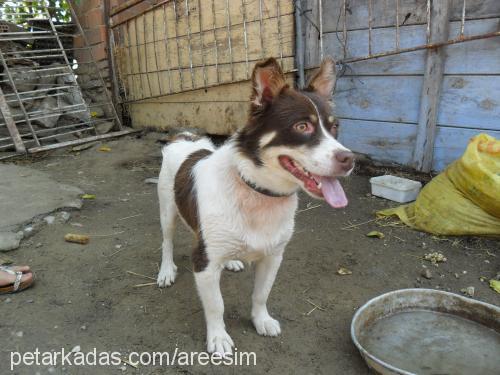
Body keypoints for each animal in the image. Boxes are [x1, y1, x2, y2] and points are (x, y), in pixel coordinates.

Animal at [158, 57, 354, 356]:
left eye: (334, 128)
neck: (256, 191)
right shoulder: (204, 262)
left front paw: (261, 320)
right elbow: (216, 306)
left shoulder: (273, 256)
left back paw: (232, 261)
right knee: (167, 241)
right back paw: (166, 270)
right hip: (167, 210)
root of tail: (185, 137)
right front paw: (218, 337)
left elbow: (261, 294)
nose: (350, 159)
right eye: (302, 127)